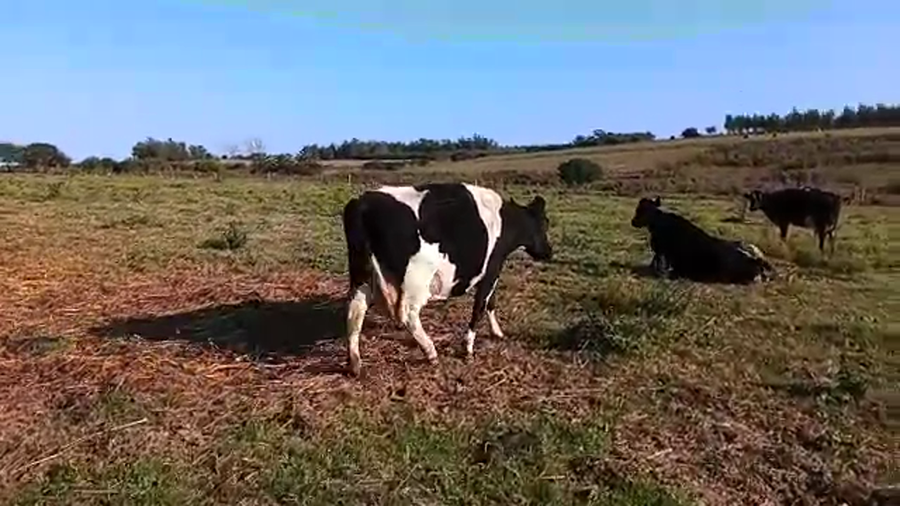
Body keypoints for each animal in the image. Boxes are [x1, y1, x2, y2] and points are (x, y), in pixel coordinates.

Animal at [341, 183, 553, 377]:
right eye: (544, 223)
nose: (549, 252)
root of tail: (362, 203)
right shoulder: (492, 269)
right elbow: (480, 307)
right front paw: (468, 348)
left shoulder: (490, 273)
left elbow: (490, 302)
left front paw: (497, 332)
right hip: (416, 280)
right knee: (408, 315)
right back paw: (431, 352)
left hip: (361, 275)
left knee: (355, 310)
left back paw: (355, 363)